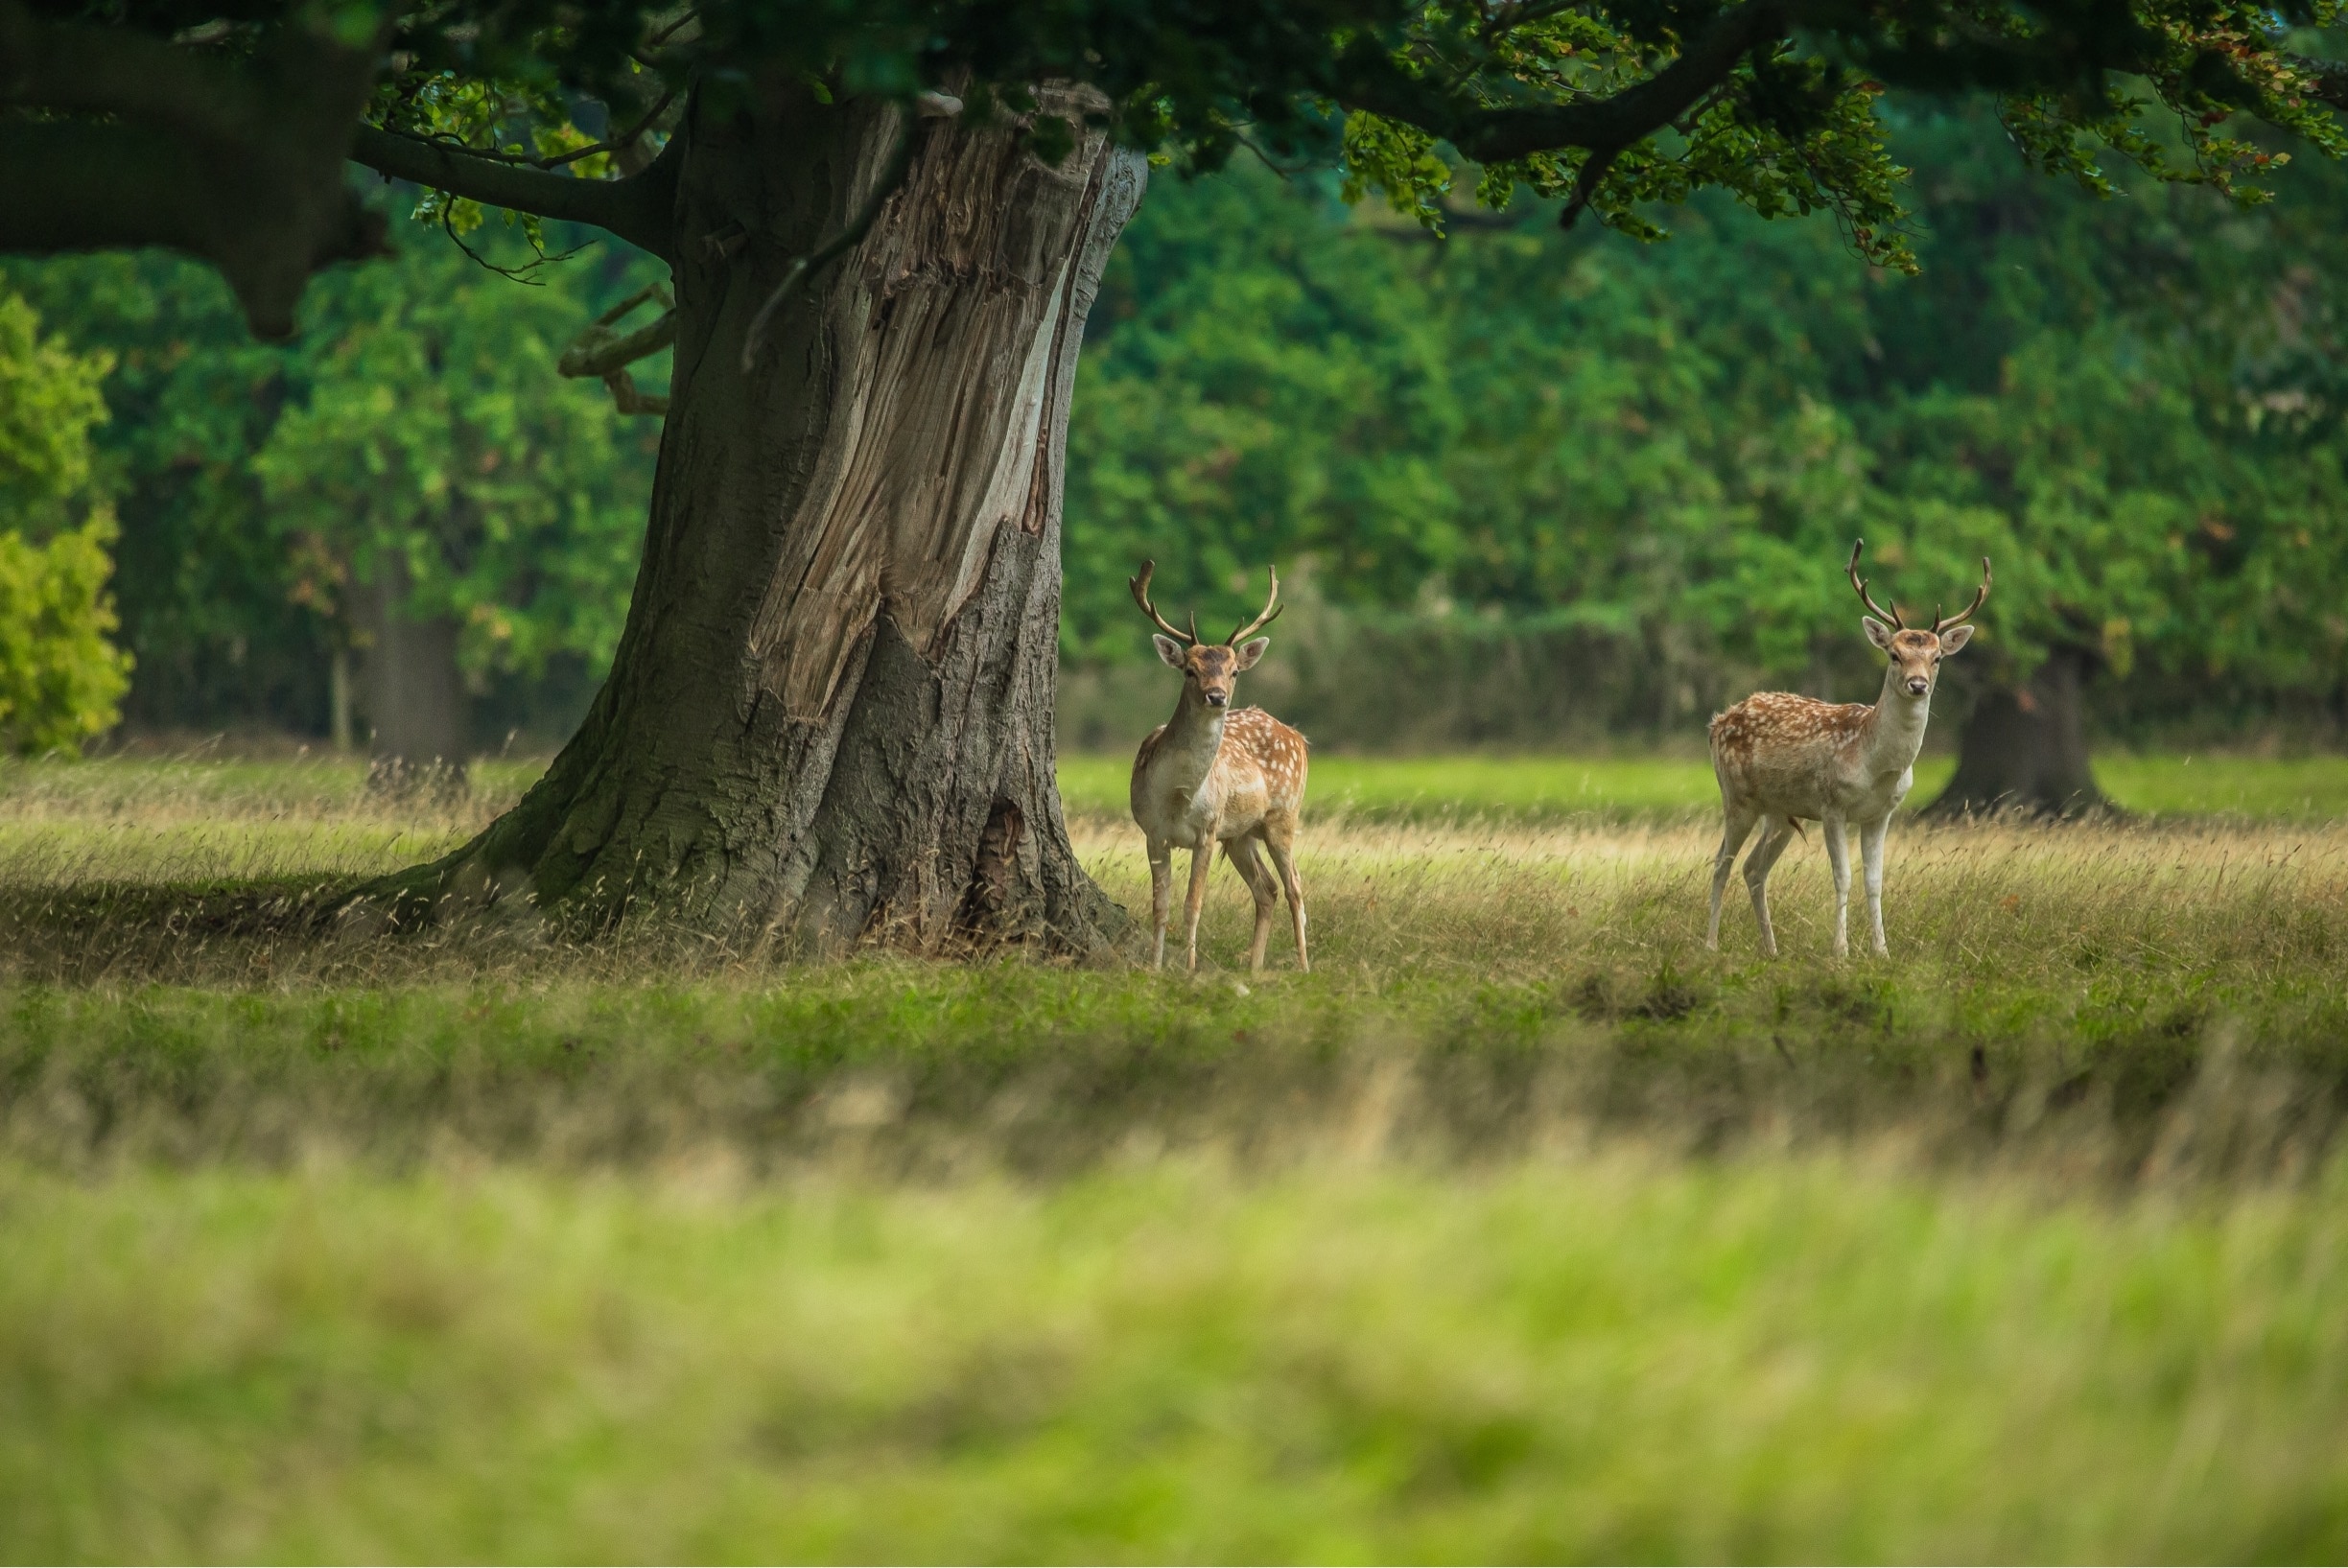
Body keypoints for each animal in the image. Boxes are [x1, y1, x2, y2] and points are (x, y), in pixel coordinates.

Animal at [1127, 556, 1314, 971]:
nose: (1216, 696)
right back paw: (1255, 967)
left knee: (1294, 886)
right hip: (1241, 833)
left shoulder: (1207, 831)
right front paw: (1154, 968)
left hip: (1283, 815)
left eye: (1234, 671)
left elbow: (1193, 905)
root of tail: (1299, 736)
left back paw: (1304, 966)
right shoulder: (1152, 832)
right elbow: (1160, 907)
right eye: (1189, 670)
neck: (1177, 796)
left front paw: (1189, 970)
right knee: (1267, 888)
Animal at [1700, 539, 1990, 957]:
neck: (1875, 764)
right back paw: (1710, 945)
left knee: (1753, 868)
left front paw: (1881, 951)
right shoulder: (1831, 804)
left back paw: (1772, 950)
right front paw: (1841, 950)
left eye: (1937, 658)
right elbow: (1843, 877)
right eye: (1894, 655)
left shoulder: (1881, 814)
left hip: (1780, 812)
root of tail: (1717, 722)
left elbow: (1874, 882)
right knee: (1721, 861)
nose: (1918, 684)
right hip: (1737, 797)